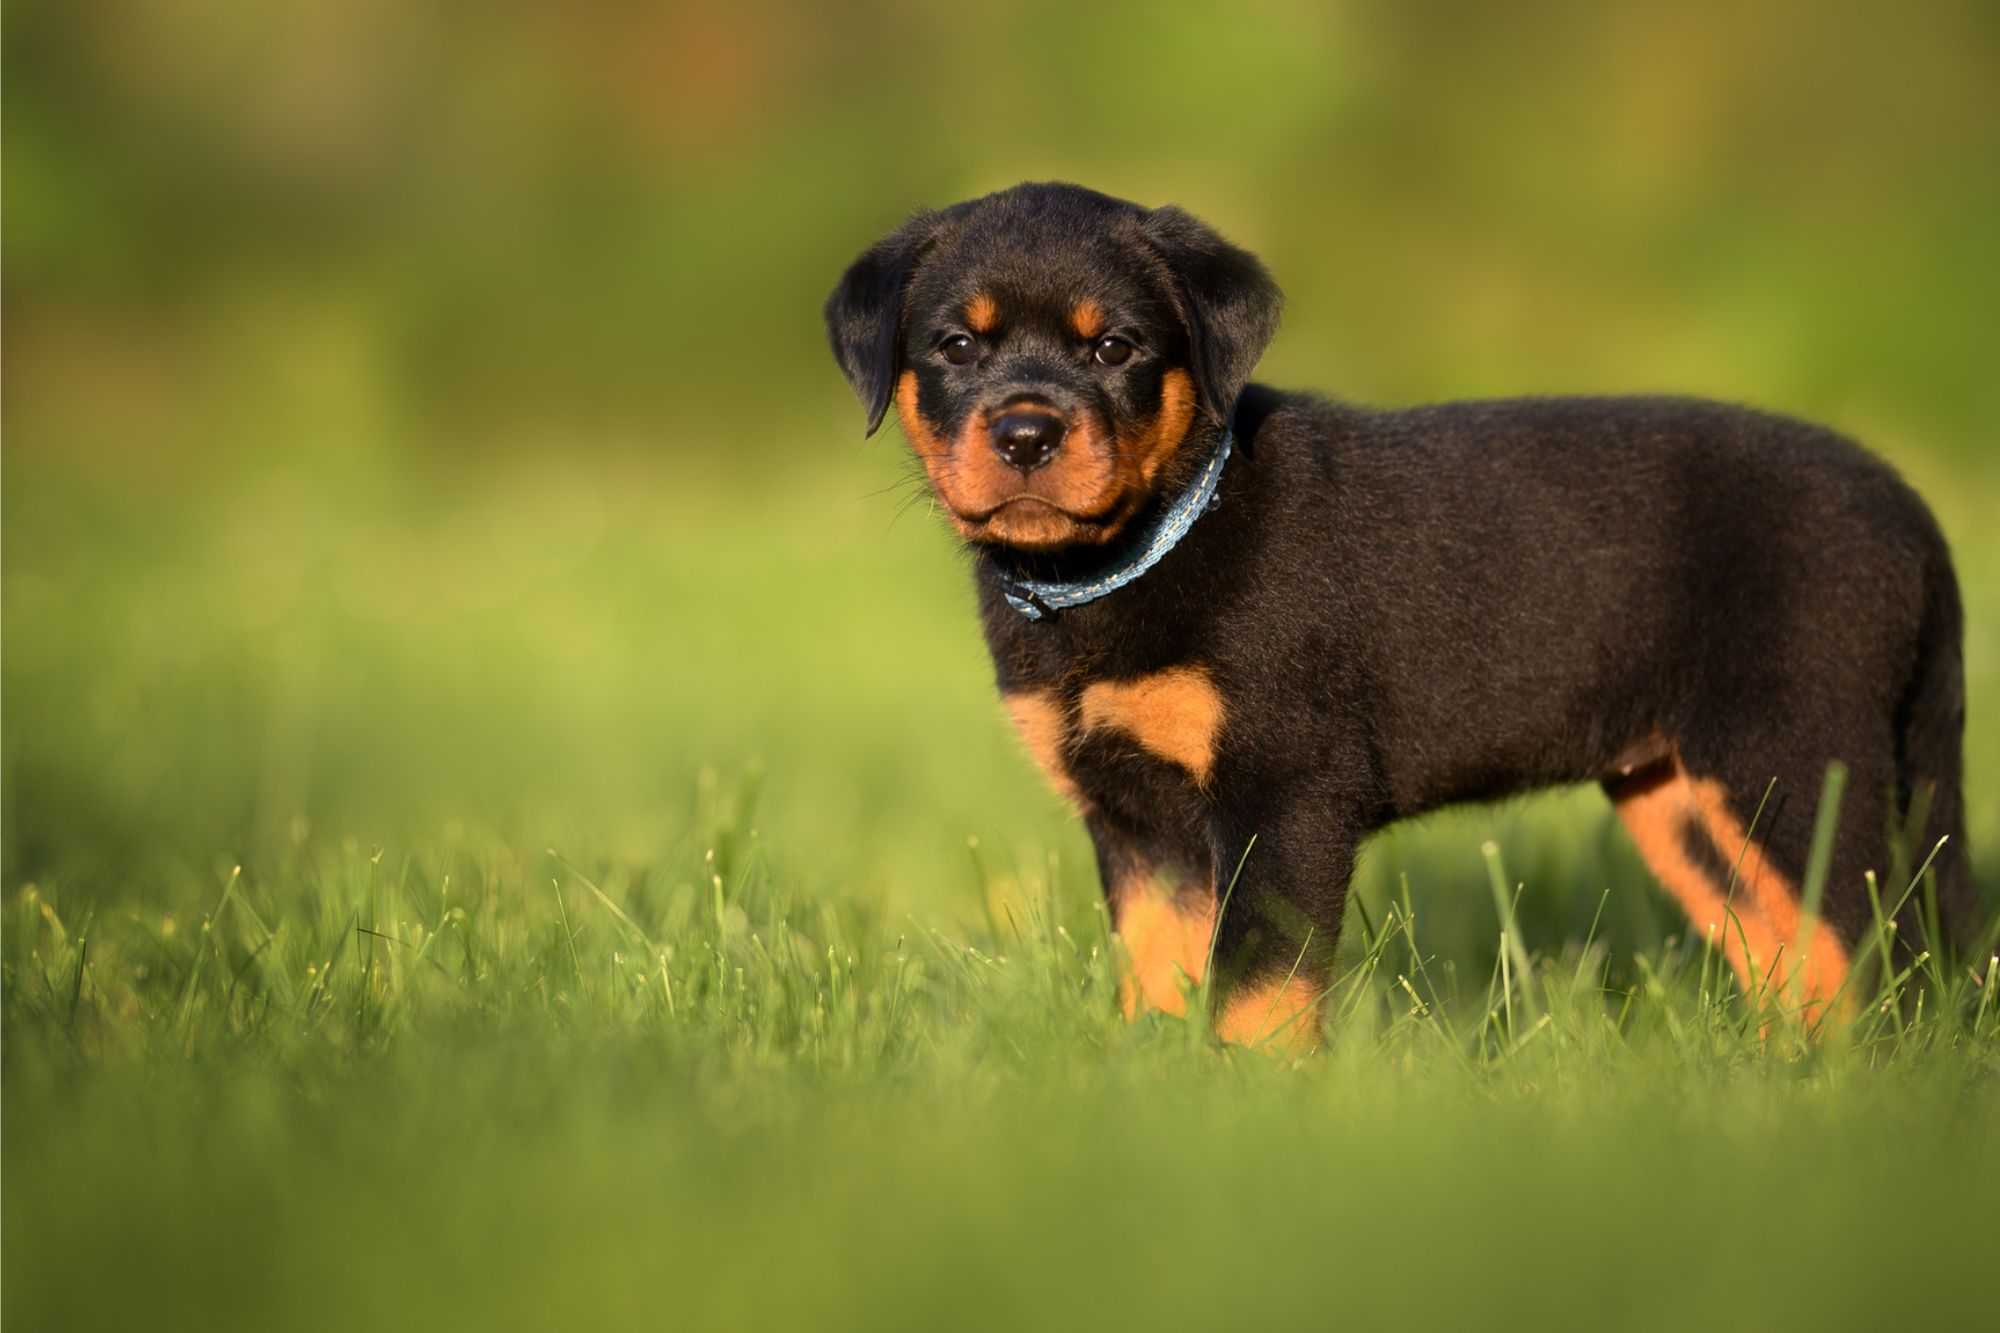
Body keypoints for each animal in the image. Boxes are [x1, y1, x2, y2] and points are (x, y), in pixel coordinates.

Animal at [824, 182, 1968, 1048]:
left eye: (1114, 348)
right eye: (954, 347)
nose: (1024, 432)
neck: (1138, 551)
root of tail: (1909, 510)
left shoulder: (1285, 796)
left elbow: (1258, 991)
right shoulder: (1137, 823)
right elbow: (1157, 977)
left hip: (1797, 757)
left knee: (1877, 952)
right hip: (1684, 796)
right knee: (1803, 957)